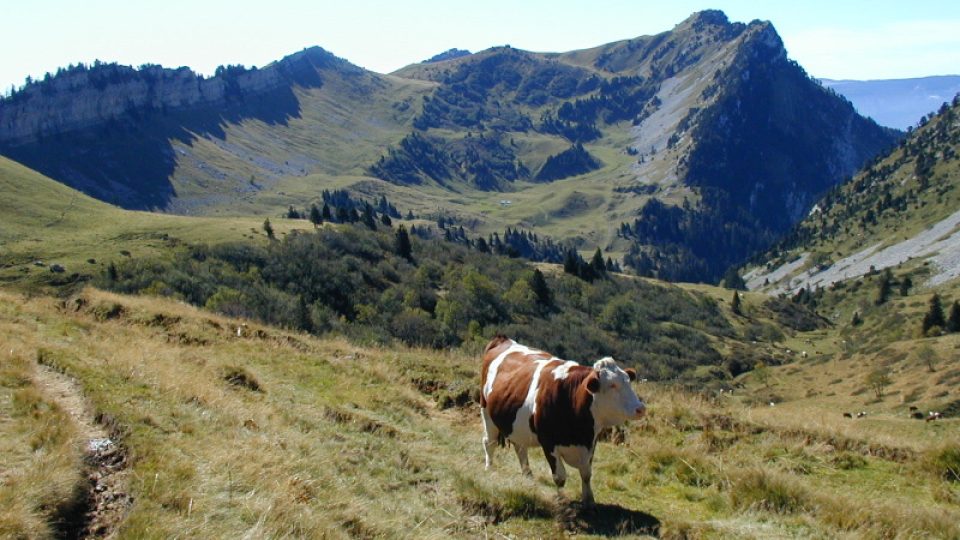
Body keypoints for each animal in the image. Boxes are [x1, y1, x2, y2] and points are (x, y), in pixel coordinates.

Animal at [478, 336, 644, 504]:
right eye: (612, 385)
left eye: (628, 381)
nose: (640, 408)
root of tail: (502, 339)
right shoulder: (548, 443)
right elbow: (560, 477)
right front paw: (561, 499)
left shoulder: (591, 442)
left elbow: (586, 473)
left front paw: (588, 499)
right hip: (486, 411)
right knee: (489, 442)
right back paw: (489, 468)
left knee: (520, 447)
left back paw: (527, 475)